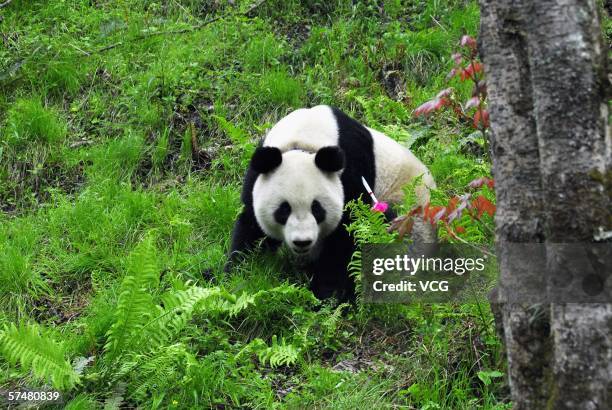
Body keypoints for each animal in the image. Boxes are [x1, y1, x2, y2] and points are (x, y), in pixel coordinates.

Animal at [226, 104, 436, 300]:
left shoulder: (352, 171)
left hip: (408, 213)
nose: (302, 242)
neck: (303, 141)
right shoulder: (256, 176)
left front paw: (328, 294)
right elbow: (251, 226)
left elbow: (346, 235)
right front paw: (238, 275)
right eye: (283, 210)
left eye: (317, 209)